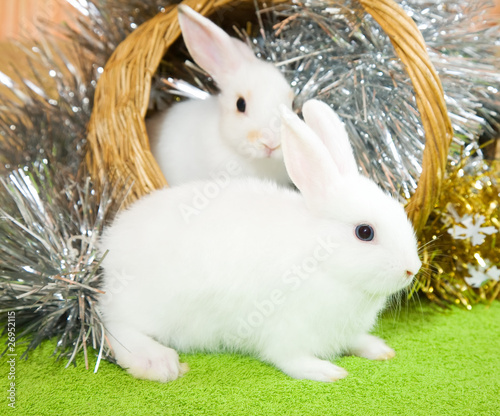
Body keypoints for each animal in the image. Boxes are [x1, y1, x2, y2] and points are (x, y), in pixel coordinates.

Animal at [99, 99, 420, 382]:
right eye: (365, 232)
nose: (412, 269)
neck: (320, 260)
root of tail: (111, 244)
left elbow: (357, 341)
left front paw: (379, 349)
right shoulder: (286, 330)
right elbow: (292, 360)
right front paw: (327, 372)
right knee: (114, 327)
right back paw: (158, 363)